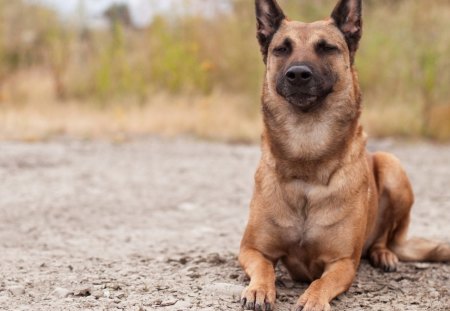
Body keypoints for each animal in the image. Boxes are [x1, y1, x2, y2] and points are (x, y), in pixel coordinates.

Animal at [239, 0, 450, 311]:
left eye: (327, 48)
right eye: (282, 48)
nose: (298, 74)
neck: (307, 160)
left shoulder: (343, 263)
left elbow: (320, 283)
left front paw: (313, 300)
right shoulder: (251, 249)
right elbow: (264, 268)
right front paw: (258, 290)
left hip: (391, 165)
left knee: (385, 237)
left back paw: (383, 254)